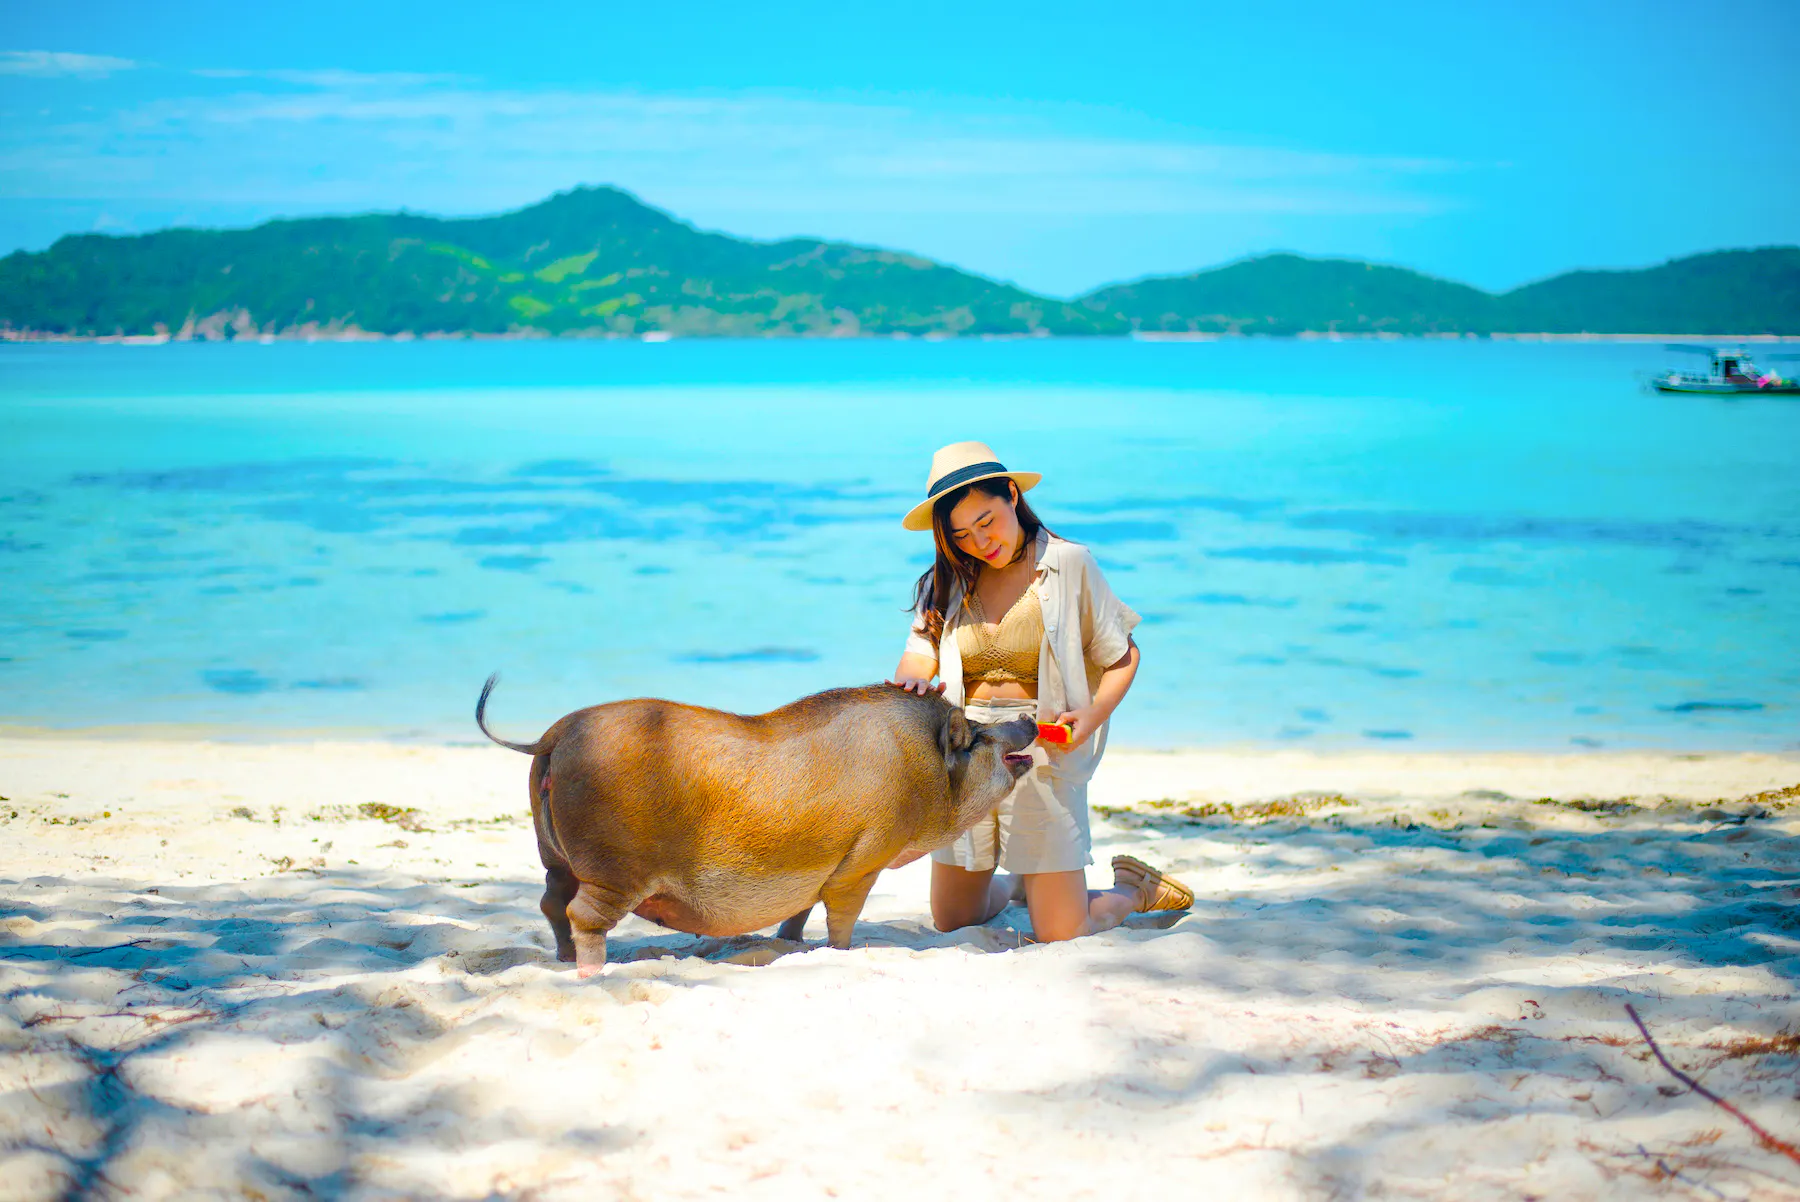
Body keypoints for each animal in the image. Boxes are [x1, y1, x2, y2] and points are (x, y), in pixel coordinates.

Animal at [475, 675, 1039, 972]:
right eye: (979, 738)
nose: (1028, 718)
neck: (923, 773)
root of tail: (552, 736)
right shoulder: (864, 859)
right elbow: (842, 916)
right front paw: (841, 953)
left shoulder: (819, 867)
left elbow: (801, 911)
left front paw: (791, 946)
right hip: (614, 866)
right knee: (582, 913)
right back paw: (593, 970)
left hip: (553, 855)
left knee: (550, 901)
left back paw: (563, 960)